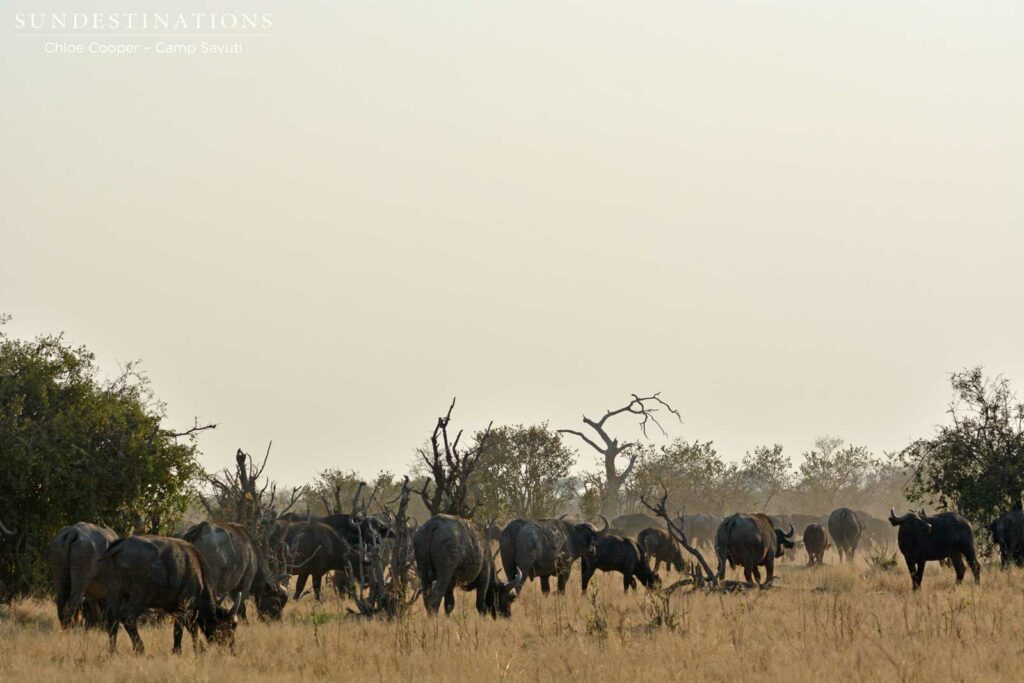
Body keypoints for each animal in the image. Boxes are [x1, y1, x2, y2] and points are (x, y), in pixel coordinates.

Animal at [99, 535, 238, 654]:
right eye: (226, 627)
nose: (231, 648)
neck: (199, 575)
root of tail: (122, 546)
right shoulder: (184, 606)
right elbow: (179, 629)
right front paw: (177, 650)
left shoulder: (175, 608)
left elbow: (192, 628)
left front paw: (200, 649)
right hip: (140, 597)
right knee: (127, 617)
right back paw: (140, 649)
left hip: (114, 593)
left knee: (112, 618)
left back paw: (113, 651)